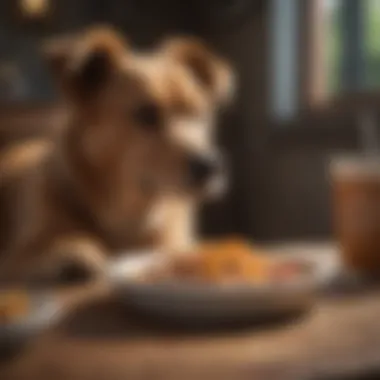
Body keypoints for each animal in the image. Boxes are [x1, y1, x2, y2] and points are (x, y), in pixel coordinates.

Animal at [0, 26, 235, 284]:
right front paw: (74, 251)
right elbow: (57, 243)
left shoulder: (172, 245)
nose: (210, 166)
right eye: (146, 113)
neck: (128, 216)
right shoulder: (14, 256)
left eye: (199, 113)